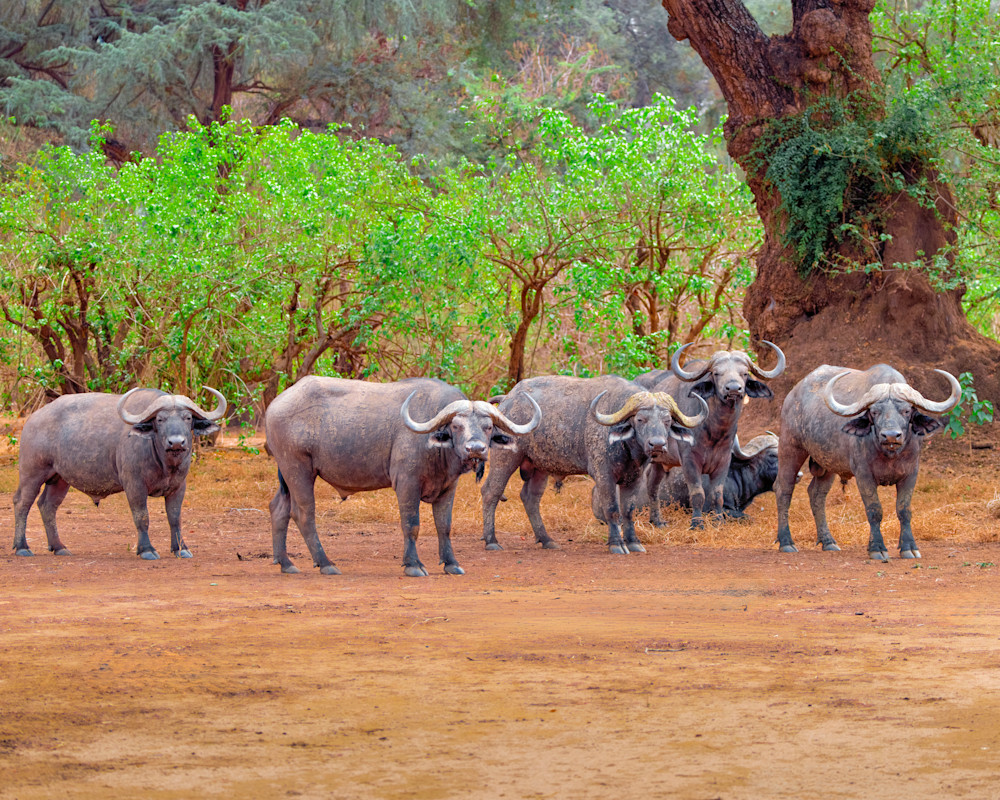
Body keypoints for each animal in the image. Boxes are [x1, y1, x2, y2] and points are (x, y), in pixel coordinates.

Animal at [12, 387, 227, 560]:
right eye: (160, 419)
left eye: (187, 418)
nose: (176, 442)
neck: (165, 463)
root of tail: (33, 419)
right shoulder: (134, 485)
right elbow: (142, 517)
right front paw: (147, 550)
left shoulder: (178, 487)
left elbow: (175, 518)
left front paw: (181, 549)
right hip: (32, 473)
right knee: (22, 502)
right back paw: (22, 547)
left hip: (60, 480)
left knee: (47, 506)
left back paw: (59, 547)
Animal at [264, 376, 541, 577]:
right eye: (456, 426)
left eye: (488, 427)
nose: (476, 449)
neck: (437, 450)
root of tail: (275, 405)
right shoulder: (407, 485)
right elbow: (411, 524)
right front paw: (413, 565)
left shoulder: (448, 488)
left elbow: (444, 526)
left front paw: (451, 563)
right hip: (298, 469)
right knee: (303, 514)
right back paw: (326, 563)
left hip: (286, 475)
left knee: (278, 508)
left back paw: (286, 563)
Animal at [480, 375, 707, 554]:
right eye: (640, 419)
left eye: (667, 421)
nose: (657, 444)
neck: (627, 446)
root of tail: (507, 400)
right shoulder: (603, 475)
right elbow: (612, 509)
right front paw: (616, 544)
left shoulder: (634, 478)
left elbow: (628, 510)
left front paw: (634, 542)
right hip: (506, 457)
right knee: (491, 491)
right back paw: (491, 541)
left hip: (540, 467)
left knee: (530, 498)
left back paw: (547, 540)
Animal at [637, 342, 785, 529]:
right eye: (716, 373)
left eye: (744, 373)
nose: (733, 389)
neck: (714, 433)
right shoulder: (689, 461)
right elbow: (698, 494)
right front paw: (697, 523)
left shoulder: (723, 461)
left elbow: (717, 495)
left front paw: (718, 521)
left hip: (661, 463)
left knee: (652, 485)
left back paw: (656, 521)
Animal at [775, 364, 960, 560]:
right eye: (875, 412)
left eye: (906, 411)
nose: (891, 435)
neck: (889, 454)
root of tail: (792, 396)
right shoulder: (863, 475)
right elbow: (874, 510)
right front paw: (877, 548)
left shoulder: (911, 474)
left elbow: (904, 510)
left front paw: (909, 547)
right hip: (790, 447)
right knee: (784, 489)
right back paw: (786, 542)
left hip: (827, 463)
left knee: (817, 494)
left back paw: (828, 541)